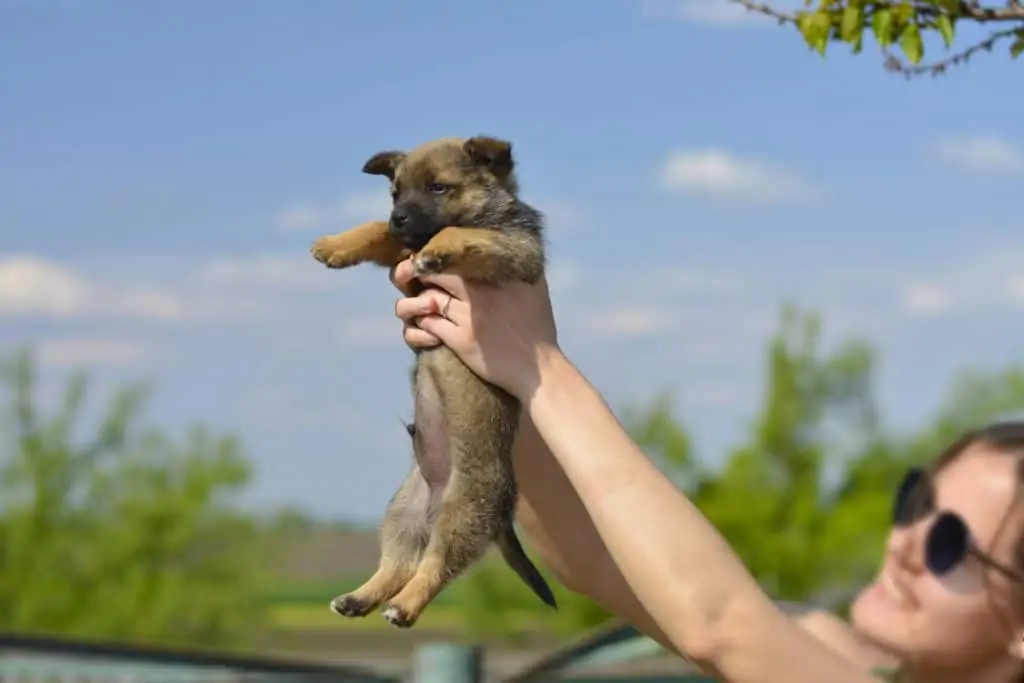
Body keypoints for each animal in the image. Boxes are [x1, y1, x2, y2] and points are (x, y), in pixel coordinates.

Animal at [307, 135, 557, 630]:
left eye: (439, 188)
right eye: (394, 194)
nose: (399, 217)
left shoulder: (515, 249)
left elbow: (462, 235)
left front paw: (441, 245)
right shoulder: (401, 252)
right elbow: (378, 233)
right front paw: (337, 245)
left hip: (462, 515)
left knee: (434, 567)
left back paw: (404, 607)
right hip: (403, 512)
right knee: (399, 563)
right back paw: (359, 598)